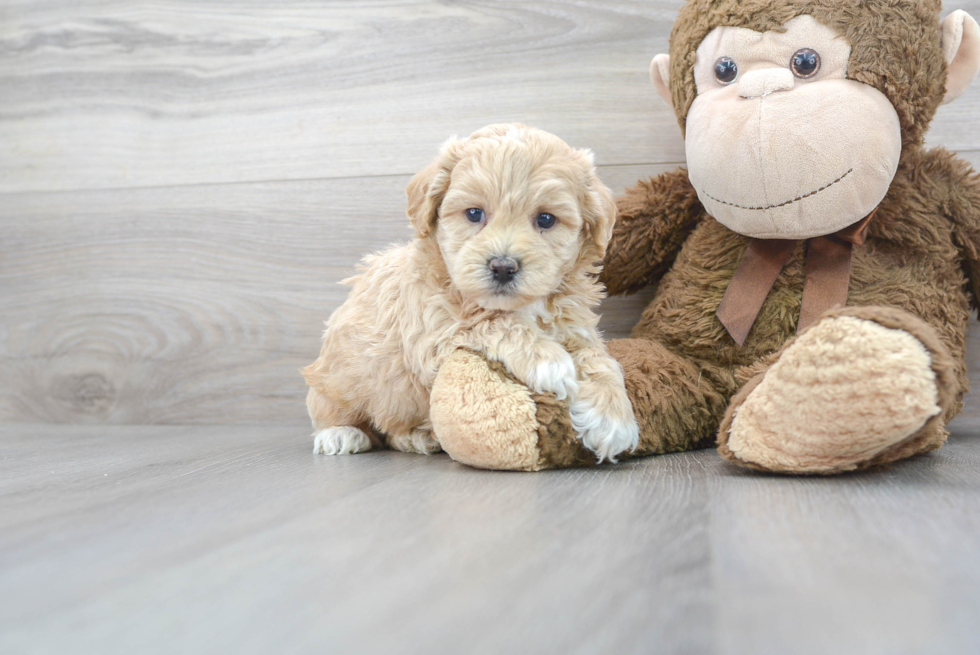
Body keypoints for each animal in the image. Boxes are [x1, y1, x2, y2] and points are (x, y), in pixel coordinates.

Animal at [306, 123, 644, 462]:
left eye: (546, 219)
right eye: (473, 214)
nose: (503, 267)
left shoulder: (575, 327)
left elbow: (599, 360)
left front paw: (613, 419)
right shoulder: (433, 330)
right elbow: (491, 322)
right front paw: (548, 360)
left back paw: (416, 437)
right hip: (339, 377)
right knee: (332, 409)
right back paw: (341, 434)